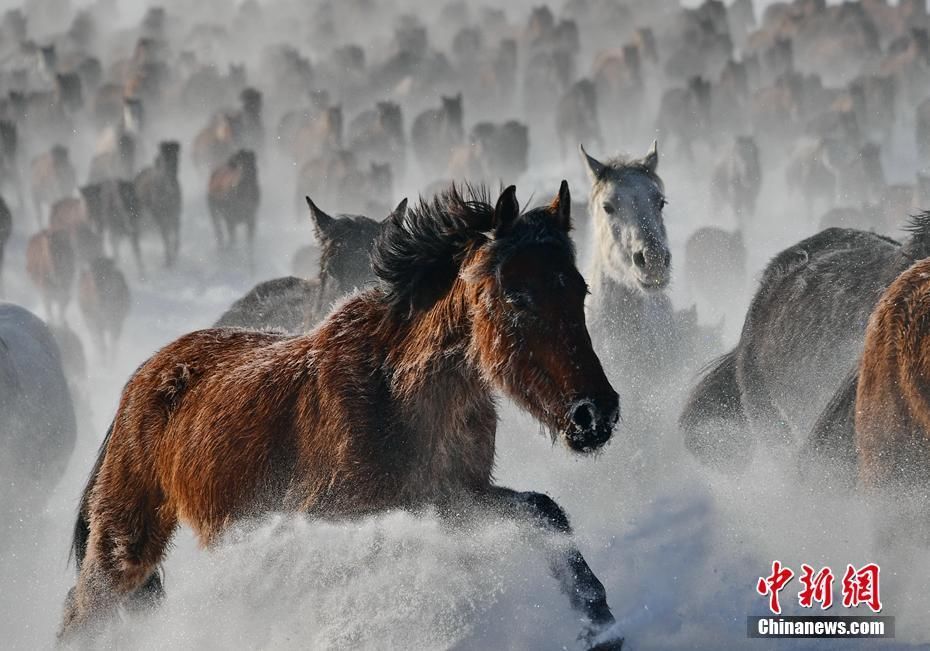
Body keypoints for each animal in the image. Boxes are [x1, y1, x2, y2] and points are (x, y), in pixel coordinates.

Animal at [58, 183, 624, 651]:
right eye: (517, 295)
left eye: (579, 289)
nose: (594, 414)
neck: (396, 393)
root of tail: (139, 381)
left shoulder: (451, 501)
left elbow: (544, 511)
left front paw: (600, 624)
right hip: (124, 545)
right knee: (81, 616)